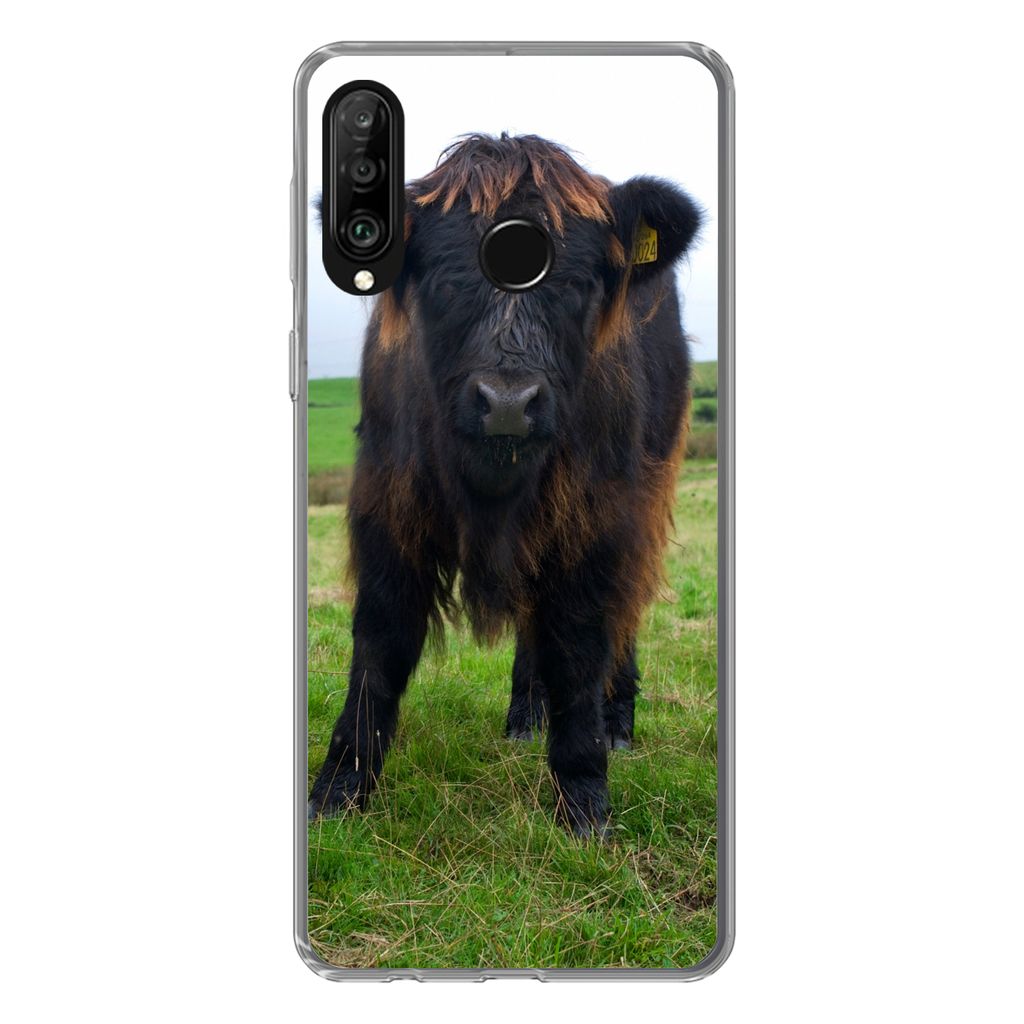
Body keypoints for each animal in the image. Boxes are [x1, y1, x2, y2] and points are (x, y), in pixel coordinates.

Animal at [308, 134, 702, 837]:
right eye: (446, 280)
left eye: (577, 284)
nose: (509, 404)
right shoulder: (387, 504)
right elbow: (380, 642)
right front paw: (339, 789)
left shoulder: (596, 519)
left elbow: (579, 644)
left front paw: (584, 800)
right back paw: (524, 715)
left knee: (623, 613)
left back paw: (617, 723)